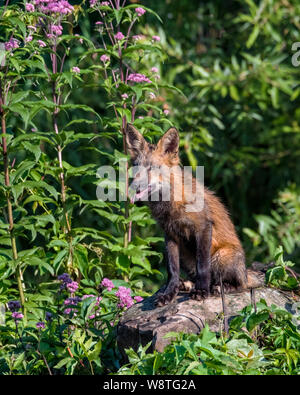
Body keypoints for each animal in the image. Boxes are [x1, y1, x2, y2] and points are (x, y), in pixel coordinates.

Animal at [125, 124, 258, 306]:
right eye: (136, 167)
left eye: (152, 167)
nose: (134, 186)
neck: (171, 205)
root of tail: (245, 271)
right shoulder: (170, 234)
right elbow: (172, 270)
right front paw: (169, 293)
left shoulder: (203, 227)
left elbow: (202, 265)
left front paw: (202, 291)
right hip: (186, 256)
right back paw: (187, 285)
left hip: (221, 257)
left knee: (239, 284)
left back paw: (219, 287)